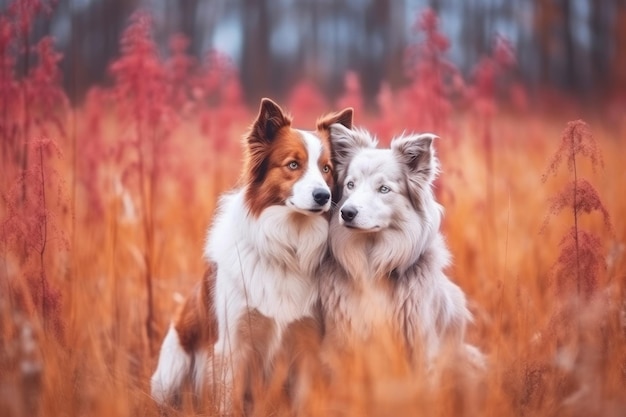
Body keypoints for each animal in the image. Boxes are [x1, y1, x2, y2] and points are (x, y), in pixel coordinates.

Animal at [150, 98, 352, 410]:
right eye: (293, 164)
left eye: (327, 169)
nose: (323, 196)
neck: (287, 246)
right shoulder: (231, 345)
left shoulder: (307, 342)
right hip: (172, 371)